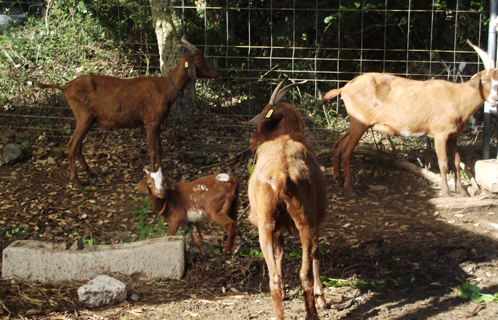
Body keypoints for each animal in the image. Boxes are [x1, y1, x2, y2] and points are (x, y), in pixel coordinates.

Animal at [37, 37, 220, 188]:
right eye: (199, 61)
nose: (217, 72)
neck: (165, 88)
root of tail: (65, 87)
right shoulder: (150, 121)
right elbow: (152, 150)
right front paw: (153, 179)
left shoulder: (157, 123)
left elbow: (159, 148)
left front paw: (163, 175)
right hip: (83, 116)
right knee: (71, 145)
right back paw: (77, 182)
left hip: (88, 119)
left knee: (78, 146)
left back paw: (90, 174)